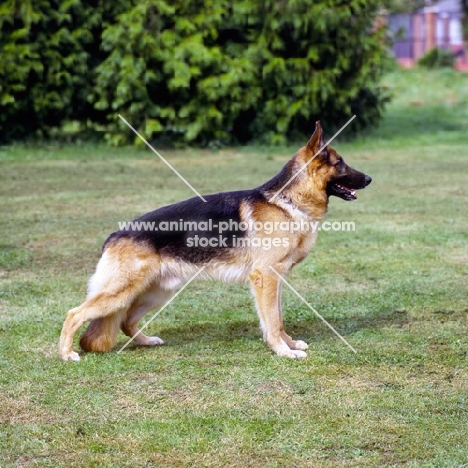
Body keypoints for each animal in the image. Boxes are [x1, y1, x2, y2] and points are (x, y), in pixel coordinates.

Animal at [60, 122, 372, 360]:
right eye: (341, 163)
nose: (369, 179)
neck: (288, 201)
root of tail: (113, 236)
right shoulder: (266, 278)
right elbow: (273, 321)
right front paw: (284, 351)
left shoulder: (276, 280)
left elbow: (278, 318)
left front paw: (289, 344)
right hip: (120, 292)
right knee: (74, 314)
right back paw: (67, 354)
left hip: (156, 292)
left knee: (125, 320)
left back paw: (147, 342)